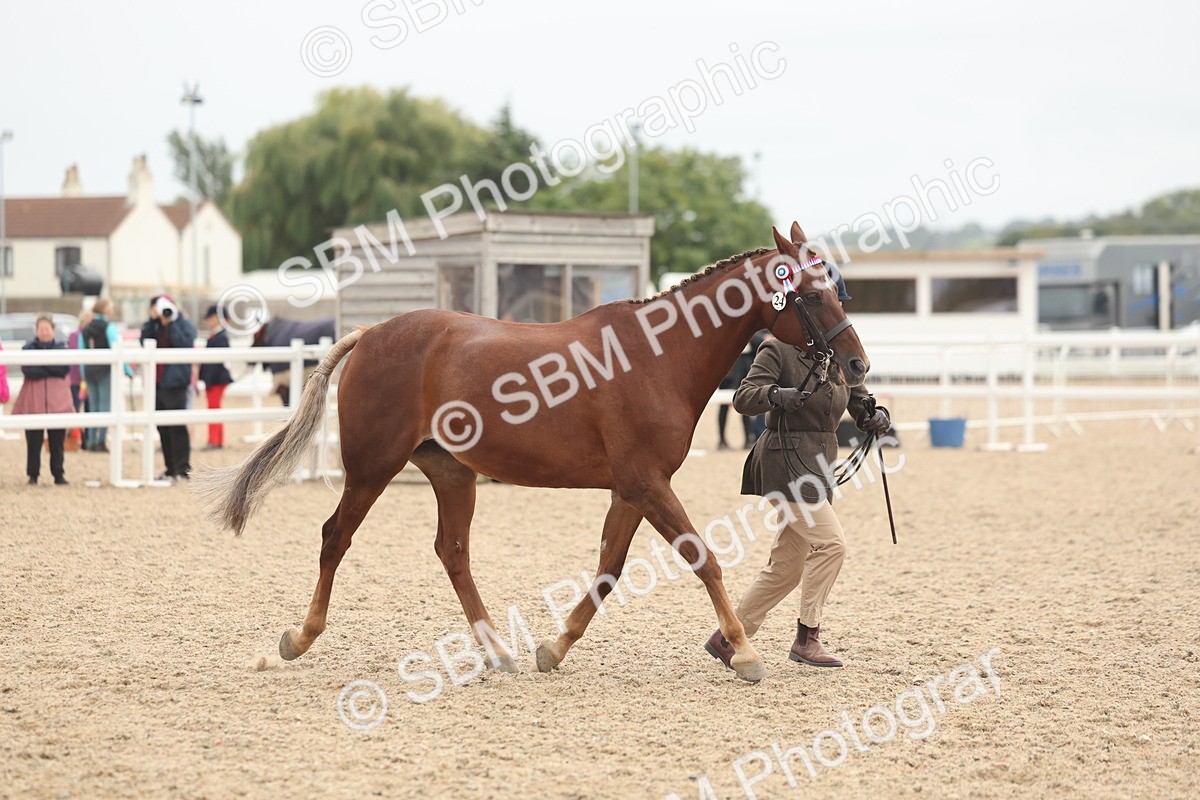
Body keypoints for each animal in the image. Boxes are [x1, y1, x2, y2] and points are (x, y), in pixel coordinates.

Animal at [194, 222, 870, 683]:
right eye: (812, 295)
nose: (858, 364)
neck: (657, 356)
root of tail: (369, 335)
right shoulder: (648, 483)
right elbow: (703, 560)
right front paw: (747, 654)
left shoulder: (633, 489)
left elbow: (609, 570)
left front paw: (553, 647)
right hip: (371, 467)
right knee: (336, 537)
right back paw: (300, 638)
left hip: (452, 474)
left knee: (452, 552)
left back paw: (497, 650)